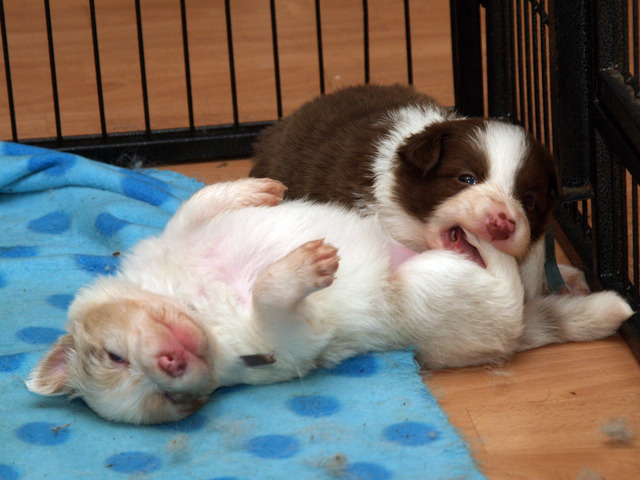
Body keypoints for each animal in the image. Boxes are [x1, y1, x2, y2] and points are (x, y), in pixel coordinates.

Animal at [27, 179, 631, 424]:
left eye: (113, 356)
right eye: (167, 401)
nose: (171, 363)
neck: (199, 304)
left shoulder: (172, 241)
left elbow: (198, 203)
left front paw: (259, 189)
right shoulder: (284, 343)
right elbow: (274, 298)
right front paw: (305, 266)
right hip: (433, 288)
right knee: (507, 283)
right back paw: (481, 237)